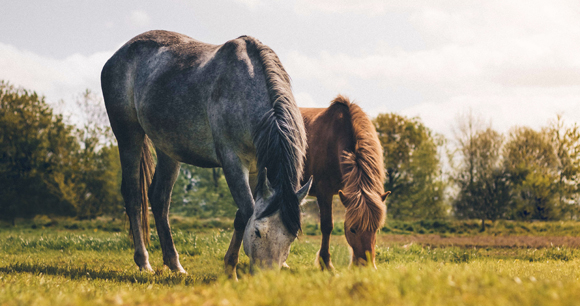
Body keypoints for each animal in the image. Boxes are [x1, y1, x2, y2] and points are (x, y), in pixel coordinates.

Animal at [102, 30, 314, 278]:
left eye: (291, 237)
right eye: (258, 232)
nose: (267, 278)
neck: (246, 89)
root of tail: (117, 55)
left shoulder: (256, 169)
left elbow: (241, 215)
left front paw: (229, 266)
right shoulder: (232, 162)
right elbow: (247, 211)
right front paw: (231, 270)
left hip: (168, 149)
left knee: (159, 199)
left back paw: (174, 264)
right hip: (128, 136)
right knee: (134, 196)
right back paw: (143, 262)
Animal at [300, 95, 390, 268]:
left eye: (376, 229)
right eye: (353, 229)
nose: (366, 266)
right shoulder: (324, 192)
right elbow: (327, 226)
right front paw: (326, 263)